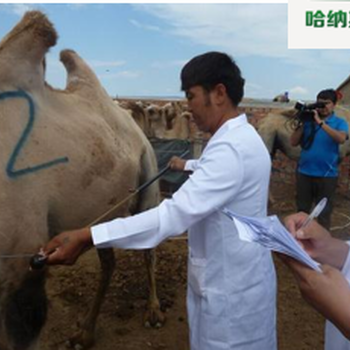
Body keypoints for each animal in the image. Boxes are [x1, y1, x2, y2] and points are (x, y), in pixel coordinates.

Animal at [0, 10, 164, 350]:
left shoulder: (21, 259)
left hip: (149, 174)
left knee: (149, 247)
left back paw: (153, 312)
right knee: (109, 261)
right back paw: (84, 332)